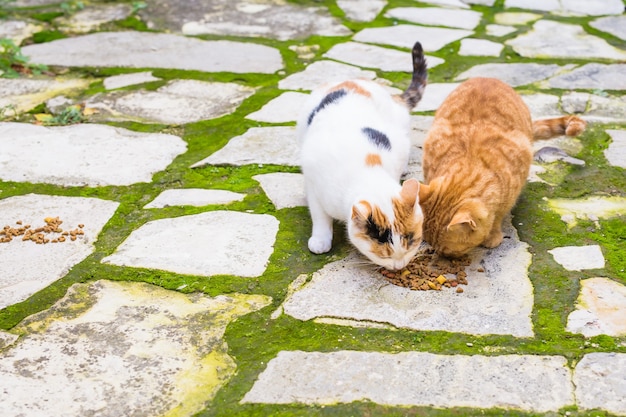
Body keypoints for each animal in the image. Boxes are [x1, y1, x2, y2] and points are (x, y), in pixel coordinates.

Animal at [296, 41, 424, 270]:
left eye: (412, 243)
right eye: (384, 255)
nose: (399, 267)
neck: (368, 168)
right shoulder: (315, 184)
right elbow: (319, 215)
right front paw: (320, 239)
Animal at [416, 76, 584, 255]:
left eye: (446, 251)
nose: (435, 252)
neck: (471, 161)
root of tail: (486, 78)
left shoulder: (512, 190)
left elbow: (497, 216)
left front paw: (493, 235)